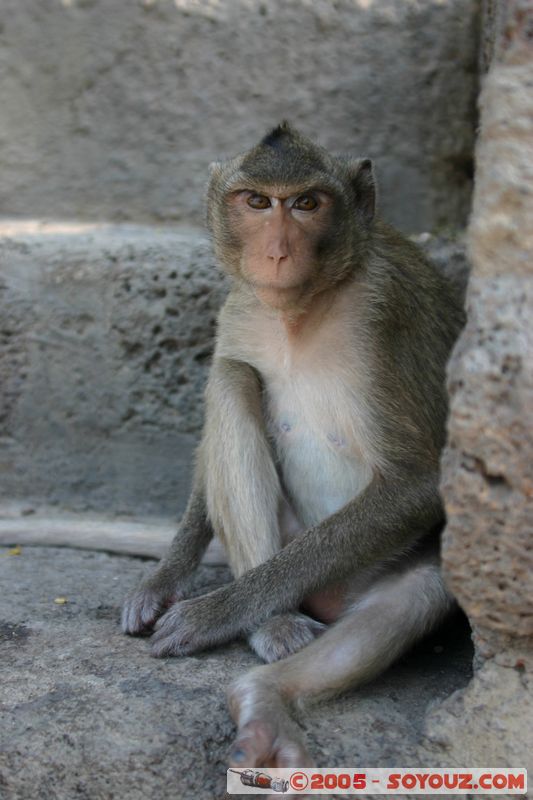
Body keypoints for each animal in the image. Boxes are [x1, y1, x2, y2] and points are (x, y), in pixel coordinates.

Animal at [121, 122, 466, 769]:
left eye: (307, 203)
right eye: (257, 202)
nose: (277, 251)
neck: (300, 310)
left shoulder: (389, 311)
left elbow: (416, 480)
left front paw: (216, 611)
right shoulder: (238, 306)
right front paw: (163, 579)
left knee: (407, 601)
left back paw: (263, 692)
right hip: (289, 538)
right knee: (232, 378)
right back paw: (273, 628)